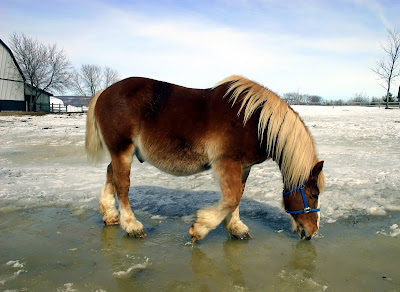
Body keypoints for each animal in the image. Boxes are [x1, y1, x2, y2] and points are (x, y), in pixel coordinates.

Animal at [85, 75, 324, 242]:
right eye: (313, 194)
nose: (312, 231)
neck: (253, 121)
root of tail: (104, 91)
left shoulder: (243, 166)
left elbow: (237, 196)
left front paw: (236, 228)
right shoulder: (227, 162)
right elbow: (231, 198)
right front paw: (200, 228)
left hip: (121, 153)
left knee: (111, 173)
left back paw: (110, 215)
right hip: (122, 150)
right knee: (122, 185)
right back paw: (131, 225)